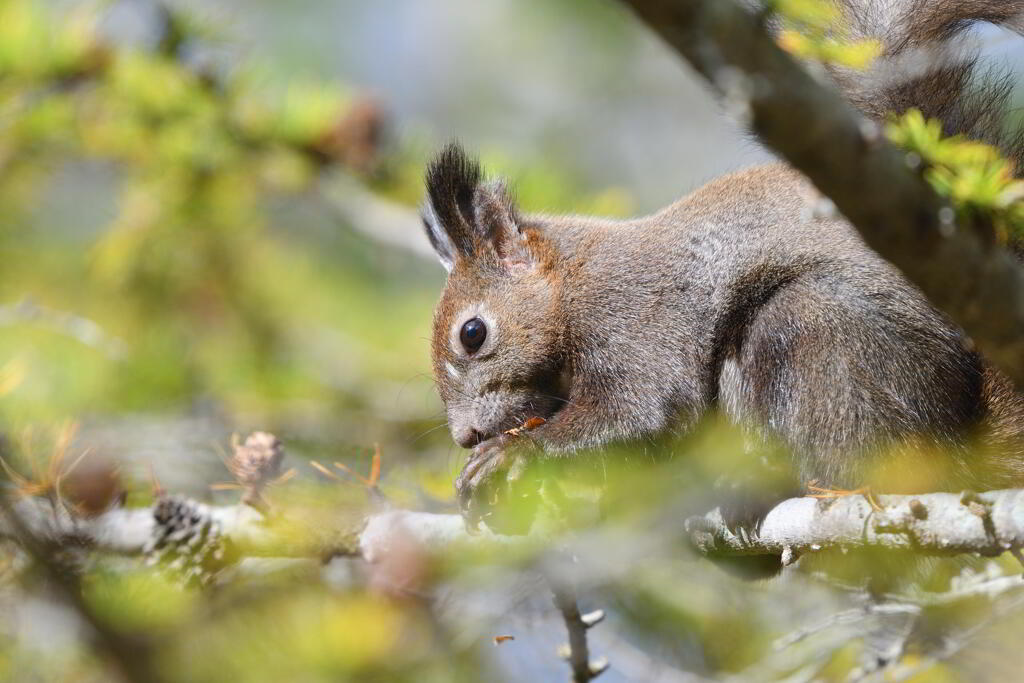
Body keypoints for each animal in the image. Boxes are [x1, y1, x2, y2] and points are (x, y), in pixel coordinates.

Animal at [419, 0, 1024, 532]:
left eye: (472, 334)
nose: (465, 437)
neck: (574, 283)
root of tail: (961, 443)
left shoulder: (635, 318)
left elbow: (643, 409)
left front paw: (512, 453)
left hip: (825, 342)